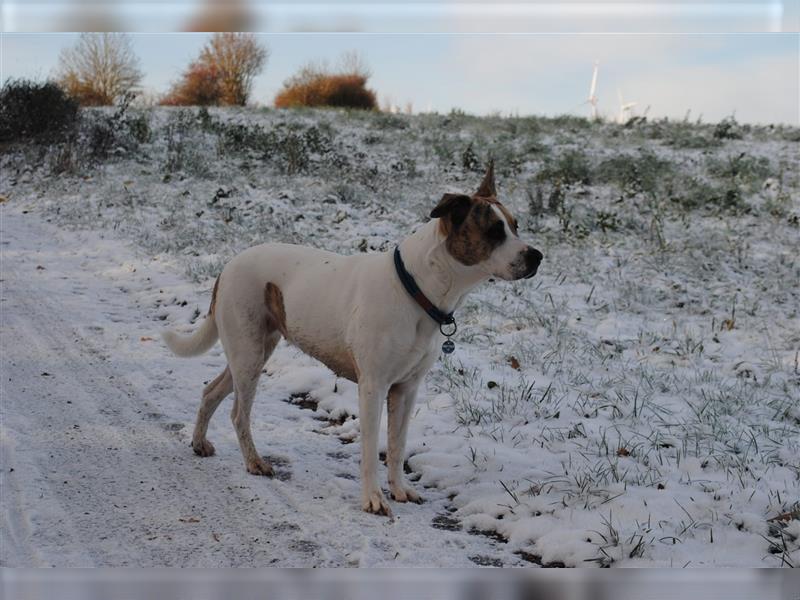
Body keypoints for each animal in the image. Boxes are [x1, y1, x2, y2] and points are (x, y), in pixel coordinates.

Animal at [161, 163, 544, 516]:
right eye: (494, 231)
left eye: (516, 225)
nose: (537, 256)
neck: (418, 289)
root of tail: (228, 265)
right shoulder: (373, 386)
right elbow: (372, 449)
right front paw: (373, 498)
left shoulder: (406, 389)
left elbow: (397, 446)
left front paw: (399, 490)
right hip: (249, 353)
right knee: (239, 414)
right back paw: (254, 461)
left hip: (252, 351)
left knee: (211, 391)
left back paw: (199, 442)